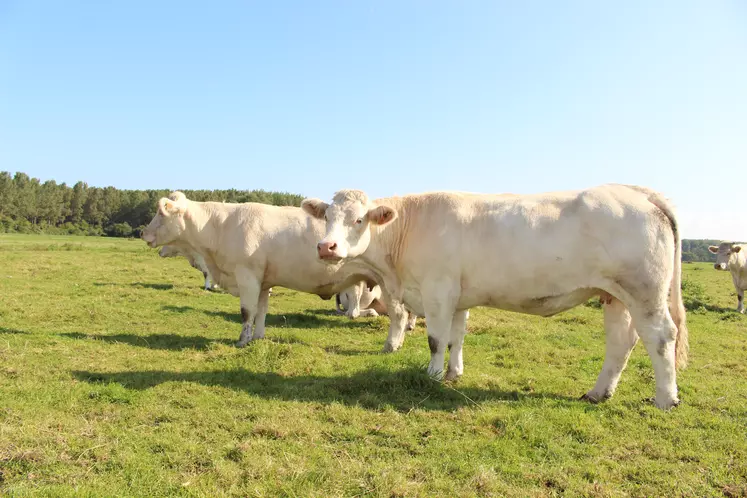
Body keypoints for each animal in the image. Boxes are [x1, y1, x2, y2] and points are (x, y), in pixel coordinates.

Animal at [140, 193, 410, 348]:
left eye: (161, 212)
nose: (143, 233)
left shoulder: (247, 276)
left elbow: (246, 312)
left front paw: (242, 341)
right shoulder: (263, 281)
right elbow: (261, 311)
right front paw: (257, 337)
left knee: (397, 314)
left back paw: (392, 345)